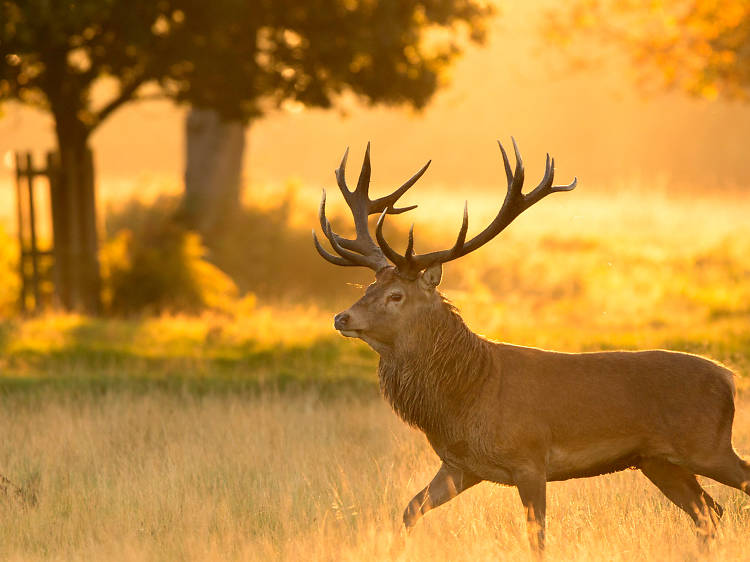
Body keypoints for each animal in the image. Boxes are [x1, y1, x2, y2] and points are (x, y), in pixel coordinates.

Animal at [312, 139, 750, 552]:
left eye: (396, 296)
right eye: (368, 288)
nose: (342, 318)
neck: (466, 397)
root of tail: (729, 378)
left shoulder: (530, 460)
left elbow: (536, 536)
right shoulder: (460, 466)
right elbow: (409, 509)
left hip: (706, 444)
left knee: (730, 493)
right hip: (658, 462)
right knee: (709, 512)